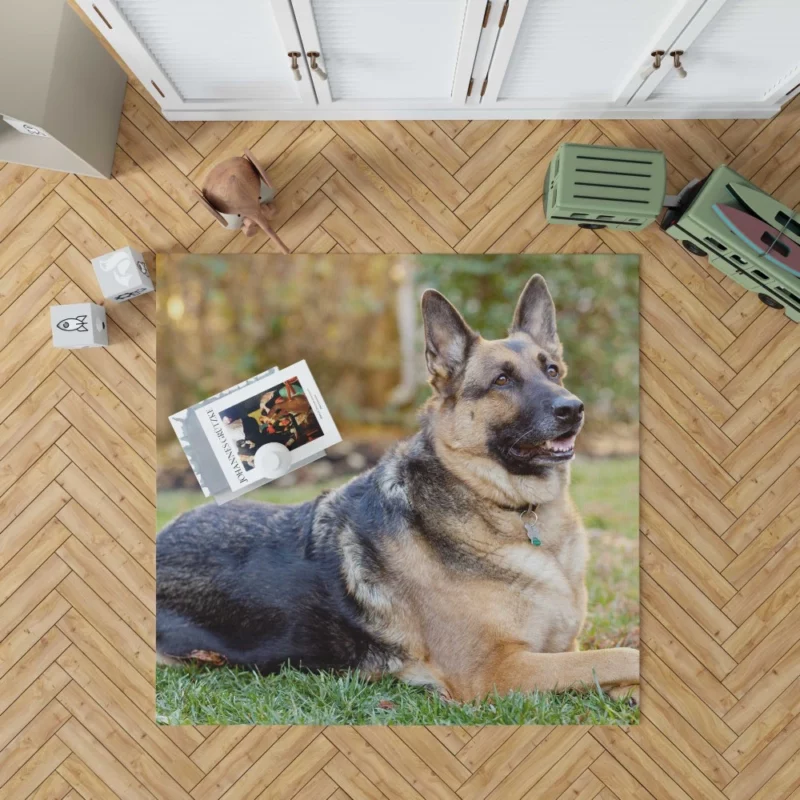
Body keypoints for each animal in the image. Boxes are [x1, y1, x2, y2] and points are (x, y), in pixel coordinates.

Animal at [158, 276, 636, 700]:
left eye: (552, 371)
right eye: (502, 381)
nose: (573, 408)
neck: (509, 510)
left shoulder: (564, 647)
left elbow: (605, 661)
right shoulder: (495, 670)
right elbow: (621, 655)